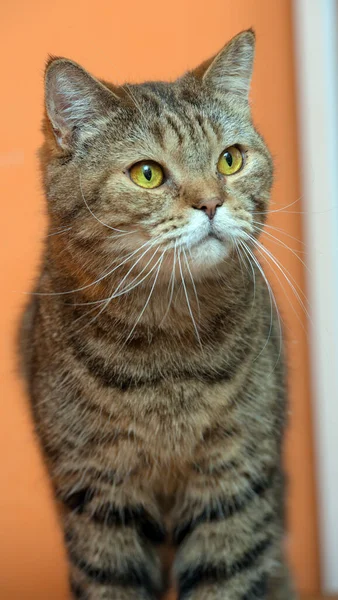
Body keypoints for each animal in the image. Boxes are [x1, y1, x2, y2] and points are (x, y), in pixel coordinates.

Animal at [19, 31, 298, 600]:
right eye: (146, 174)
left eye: (230, 160)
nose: (212, 203)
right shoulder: (99, 496)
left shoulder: (233, 484)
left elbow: (225, 580)